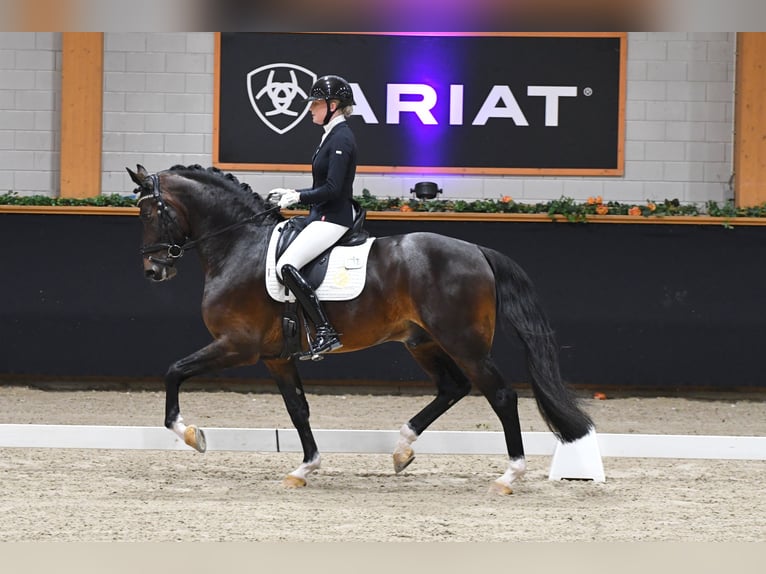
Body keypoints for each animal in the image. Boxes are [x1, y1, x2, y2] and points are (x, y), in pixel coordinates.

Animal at [127, 163, 592, 496]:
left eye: (150, 212)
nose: (153, 270)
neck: (240, 246)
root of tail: (477, 250)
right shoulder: (276, 357)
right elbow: (298, 410)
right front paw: (304, 468)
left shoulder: (238, 345)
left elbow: (174, 371)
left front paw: (191, 435)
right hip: (422, 341)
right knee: (452, 387)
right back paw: (402, 449)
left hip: (464, 343)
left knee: (501, 395)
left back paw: (509, 476)